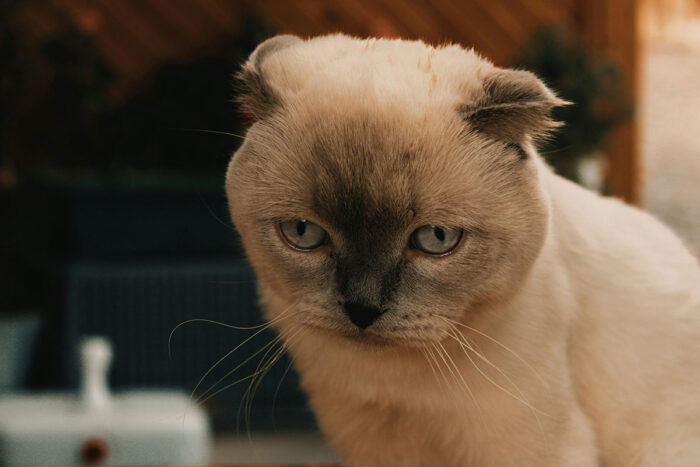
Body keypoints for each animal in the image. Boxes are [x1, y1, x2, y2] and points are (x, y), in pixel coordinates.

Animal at [226, 34, 700, 466]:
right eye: (304, 232)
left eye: (436, 239)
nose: (362, 309)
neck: (393, 387)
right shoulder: (370, 444)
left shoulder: (526, 448)